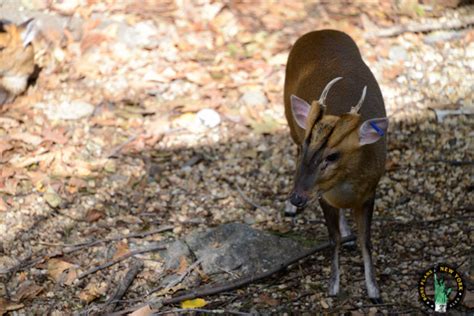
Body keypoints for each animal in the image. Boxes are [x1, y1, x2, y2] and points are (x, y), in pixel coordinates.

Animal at [284, 30, 386, 304]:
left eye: (332, 156)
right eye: (308, 147)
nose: (297, 197)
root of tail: (321, 31)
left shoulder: (370, 192)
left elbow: (366, 241)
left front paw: (374, 290)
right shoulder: (322, 195)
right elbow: (333, 239)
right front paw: (333, 286)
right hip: (290, 120)